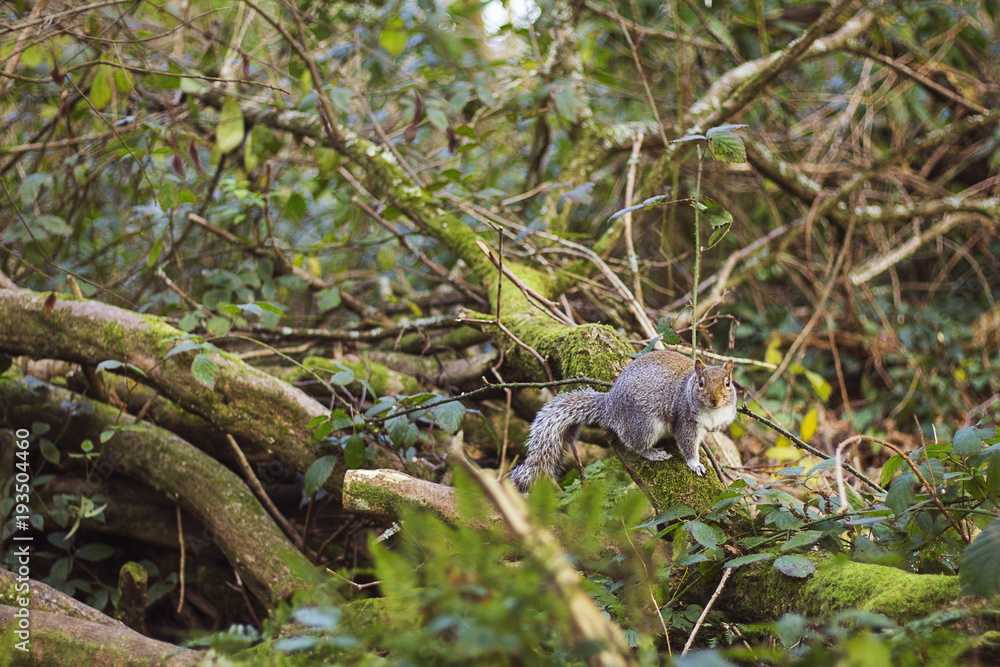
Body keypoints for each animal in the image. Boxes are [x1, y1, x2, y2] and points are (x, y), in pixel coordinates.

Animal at [508, 352, 736, 494]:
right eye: (701, 383)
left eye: (728, 383)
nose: (714, 400)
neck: (712, 412)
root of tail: (610, 406)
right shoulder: (684, 420)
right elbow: (687, 445)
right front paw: (695, 464)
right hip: (645, 425)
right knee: (635, 444)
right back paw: (653, 453)